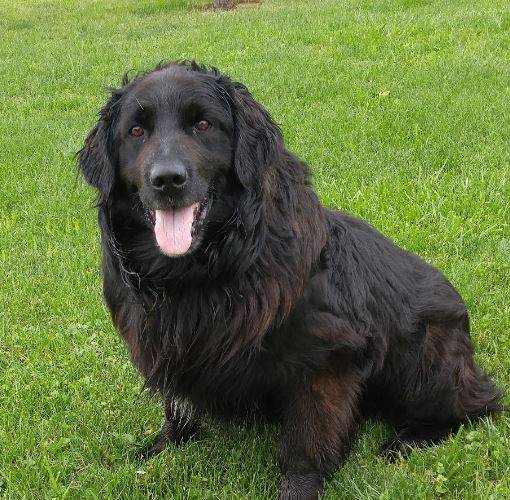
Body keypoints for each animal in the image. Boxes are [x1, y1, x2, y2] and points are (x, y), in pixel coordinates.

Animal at [79, 61, 502, 496]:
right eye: (135, 132)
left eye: (202, 124)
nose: (166, 180)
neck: (205, 270)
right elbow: (176, 410)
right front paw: (157, 453)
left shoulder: (323, 363)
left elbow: (304, 443)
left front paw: (300, 487)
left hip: (423, 361)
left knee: (481, 405)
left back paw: (410, 439)